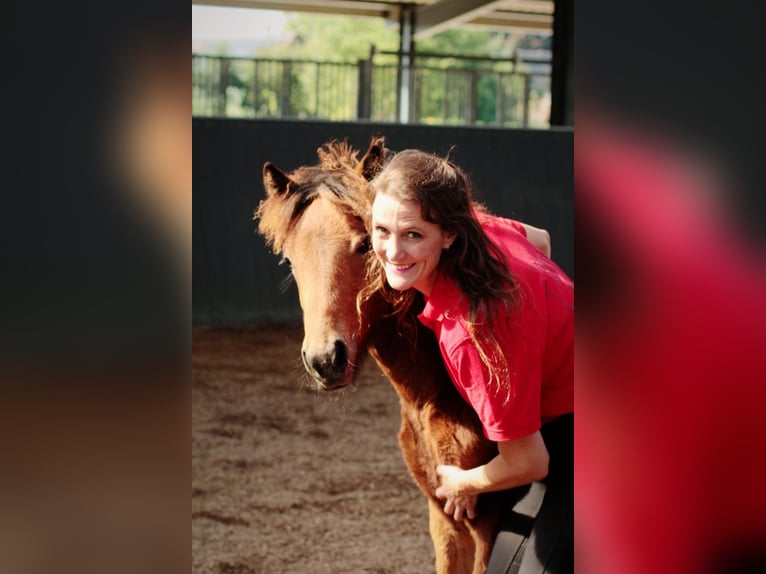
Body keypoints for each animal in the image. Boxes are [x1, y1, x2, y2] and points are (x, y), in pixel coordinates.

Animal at [255, 137, 514, 573]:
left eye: (364, 244)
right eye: (288, 259)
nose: (325, 360)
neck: (432, 394)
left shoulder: (489, 524)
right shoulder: (444, 515)